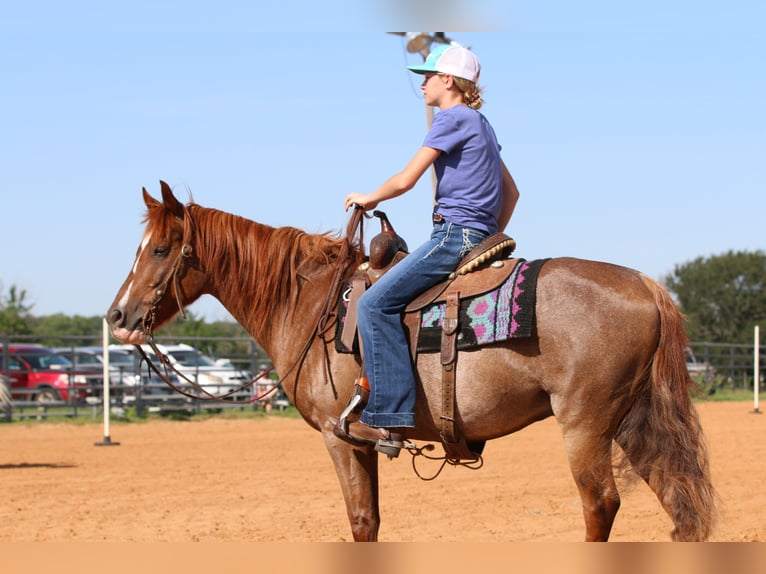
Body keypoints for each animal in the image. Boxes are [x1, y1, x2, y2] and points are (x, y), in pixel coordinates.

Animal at [106, 182, 720, 544]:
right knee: (677, 502)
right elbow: (373, 522)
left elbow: (360, 523)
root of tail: (645, 285)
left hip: (586, 424)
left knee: (600, 505)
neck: (309, 304)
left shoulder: (338, 436)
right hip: (634, 422)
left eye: (159, 249)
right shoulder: (365, 440)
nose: (118, 315)